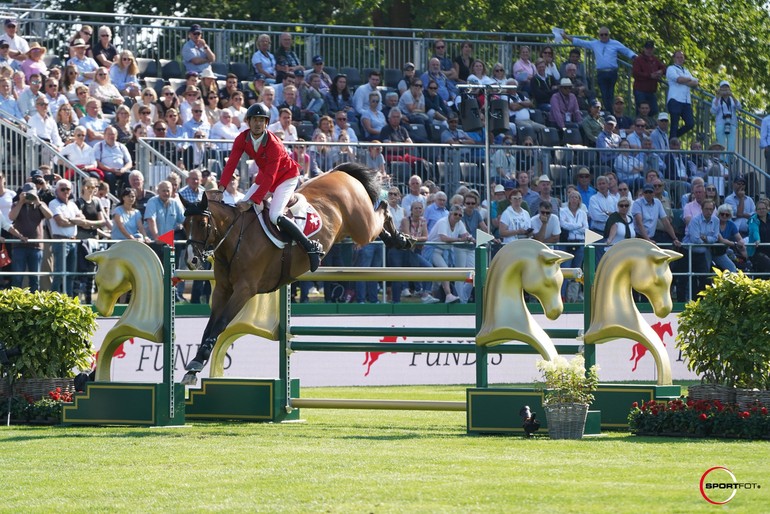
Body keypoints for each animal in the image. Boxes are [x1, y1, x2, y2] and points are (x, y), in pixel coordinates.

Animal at [182, 162, 414, 382]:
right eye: (184, 225)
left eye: (202, 223)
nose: (192, 260)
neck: (235, 238)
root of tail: (340, 172)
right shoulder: (222, 290)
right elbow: (210, 325)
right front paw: (195, 364)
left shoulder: (244, 289)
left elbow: (221, 323)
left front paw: (198, 360)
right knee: (380, 220)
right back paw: (396, 239)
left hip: (361, 227)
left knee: (382, 209)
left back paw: (401, 238)